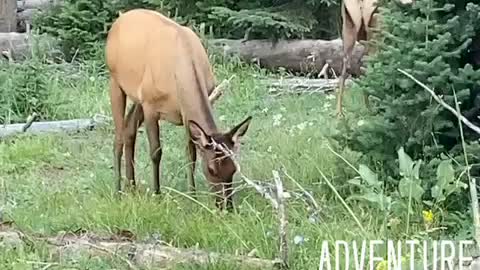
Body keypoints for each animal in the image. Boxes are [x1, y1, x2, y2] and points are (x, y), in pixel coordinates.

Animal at [105, 8, 253, 211]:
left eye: (234, 168)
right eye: (211, 169)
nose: (226, 207)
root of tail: (120, 18)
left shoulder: (186, 112)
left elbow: (191, 153)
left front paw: (193, 196)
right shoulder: (151, 105)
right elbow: (156, 152)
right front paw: (157, 195)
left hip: (138, 97)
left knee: (129, 130)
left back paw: (132, 186)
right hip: (116, 80)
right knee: (119, 134)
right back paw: (118, 190)